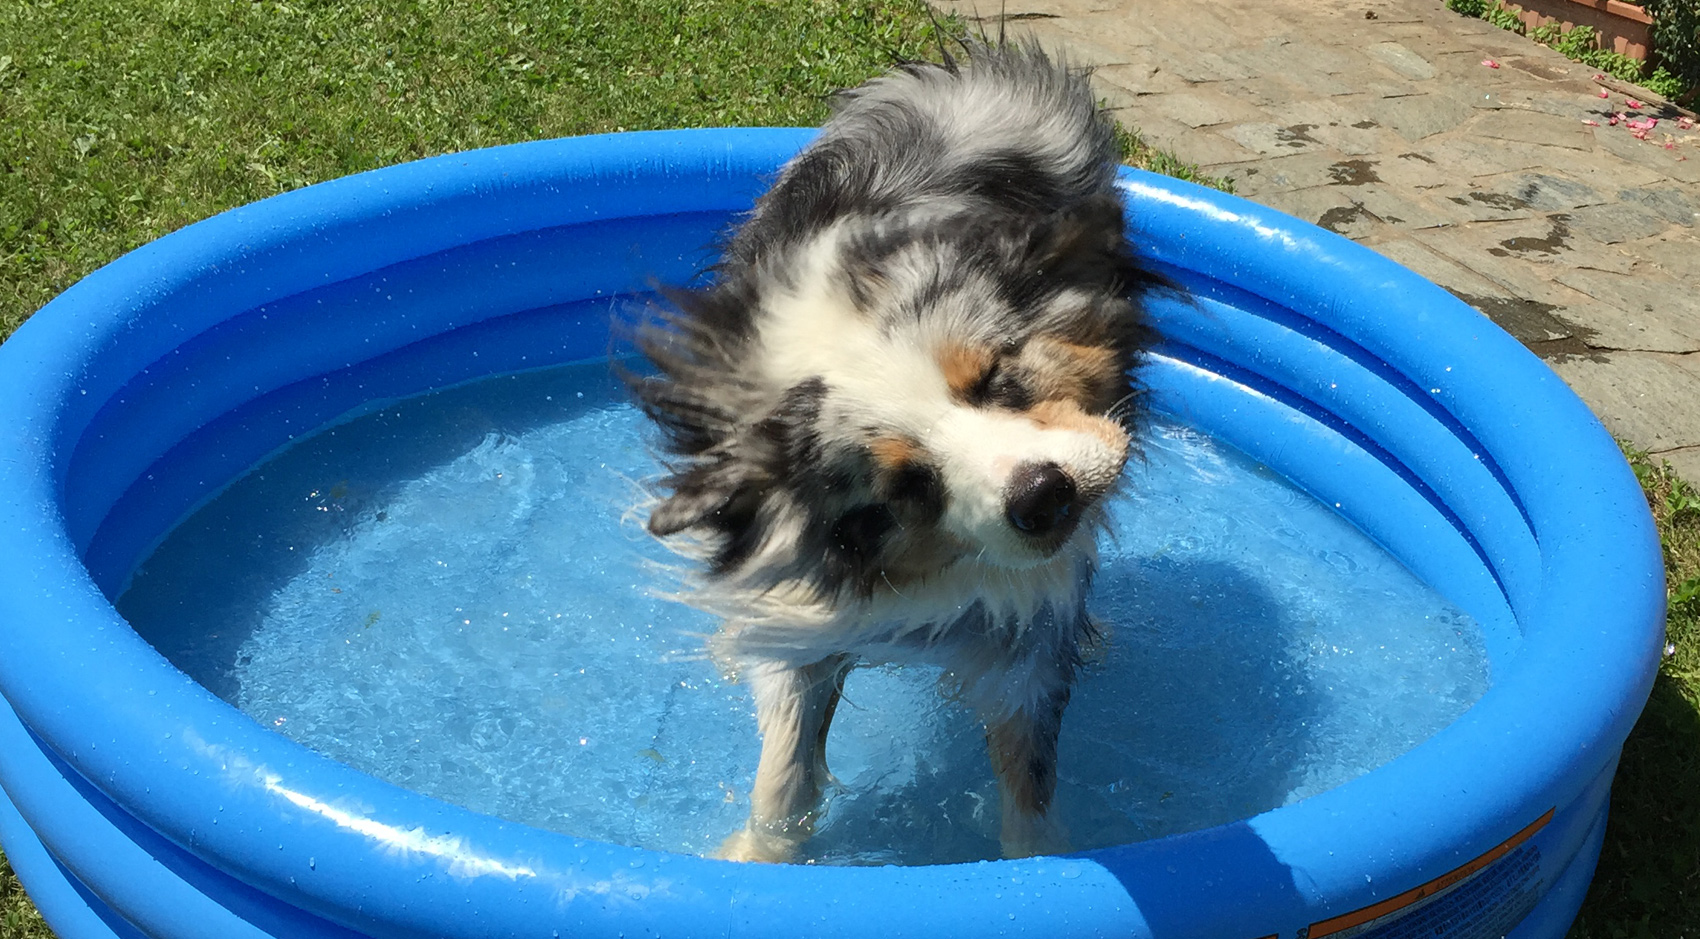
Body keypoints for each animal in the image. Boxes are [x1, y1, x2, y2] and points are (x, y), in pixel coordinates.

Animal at [625, 36, 1169, 860]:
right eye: (908, 485)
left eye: (997, 377)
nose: (1046, 497)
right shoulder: (808, 602)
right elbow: (785, 770)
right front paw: (758, 857)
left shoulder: (1028, 624)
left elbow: (1028, 772)